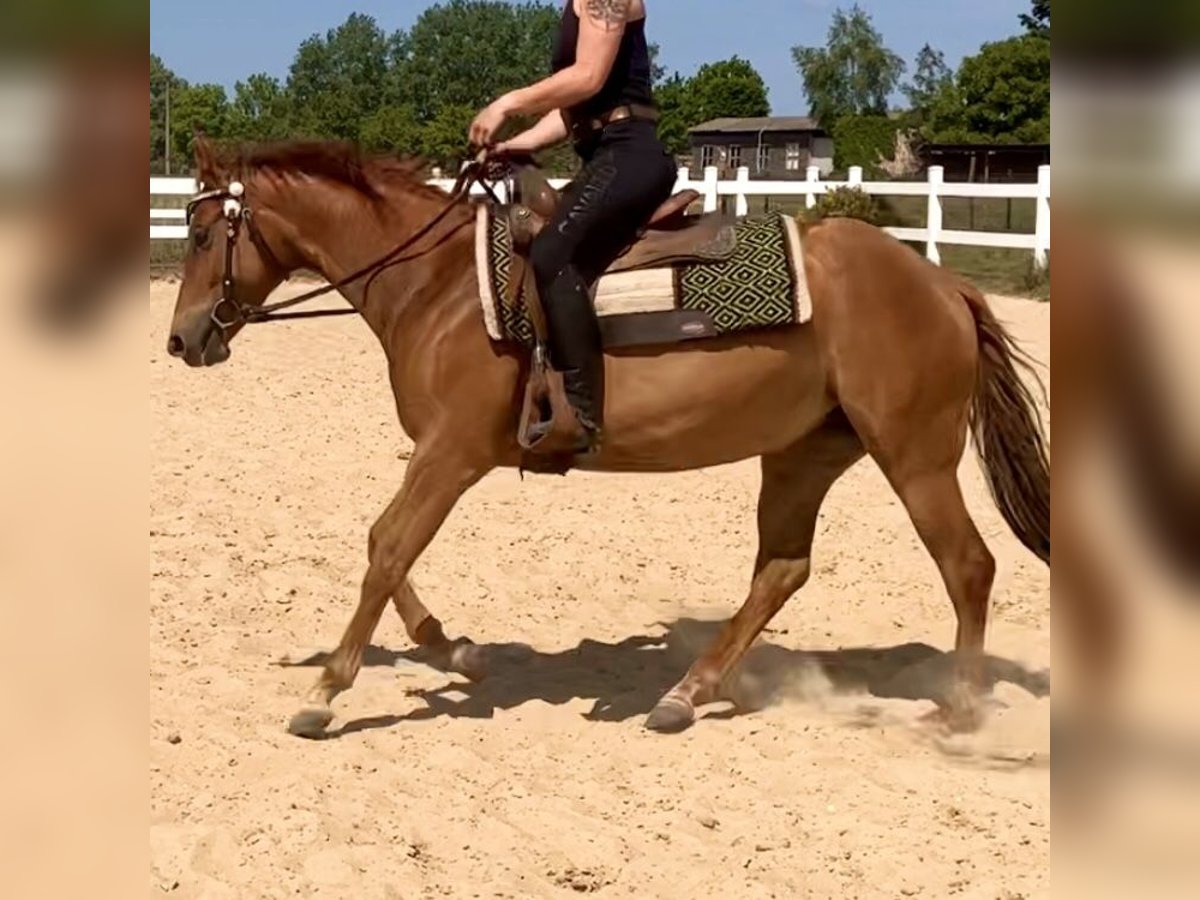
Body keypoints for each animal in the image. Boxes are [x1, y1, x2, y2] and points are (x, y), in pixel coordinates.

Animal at [164, 141, 1046, 744]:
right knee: (781, 570)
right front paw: (454, 651)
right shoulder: (440, 456)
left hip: (915, 455)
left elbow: (386, 546)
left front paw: (326, 693)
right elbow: (387, 548)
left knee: (968, 566)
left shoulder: (452, 454)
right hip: (804, 452)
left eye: (206, 235)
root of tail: (944, 283)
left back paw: (961, 713)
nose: (181, 339)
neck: (440, 286)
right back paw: (685, 694)